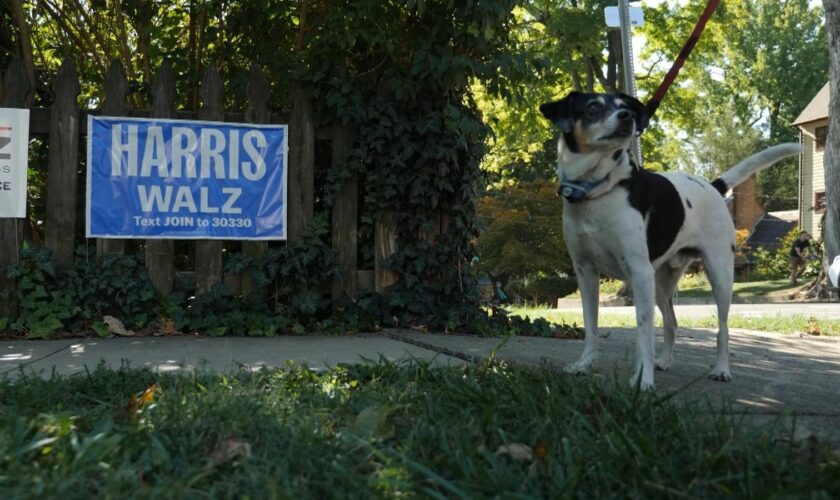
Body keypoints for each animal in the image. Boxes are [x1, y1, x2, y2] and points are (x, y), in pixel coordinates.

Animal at [540, 93, 800, 390]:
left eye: (624, 106)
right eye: (593, 107)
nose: (628, 117)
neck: (598, 191)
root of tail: (713, 187)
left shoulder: (639, 272)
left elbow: (644, 333)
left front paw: (642, 380)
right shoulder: (585, 272)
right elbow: (591, 325)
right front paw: (584, 364)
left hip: (719, 275)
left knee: (722, 329)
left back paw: (721, 369)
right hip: (662, 284)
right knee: (672, 322)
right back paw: (664, 360)